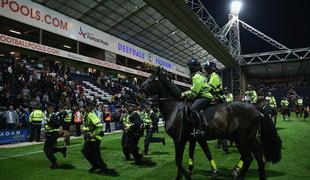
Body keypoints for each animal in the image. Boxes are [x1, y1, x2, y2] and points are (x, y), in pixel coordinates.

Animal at [142, 68, 282, 179]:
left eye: (150, 80)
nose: (139, 90)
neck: (175, 108)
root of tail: (256, 108)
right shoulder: (194, 139)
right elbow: (198, 154)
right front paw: (192, 172)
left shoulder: (179, 140)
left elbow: (178, 160)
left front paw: (186, 175)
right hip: (250, 138)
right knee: (259, 155)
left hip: (241, 138)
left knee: (248, 157)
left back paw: (237, 173)